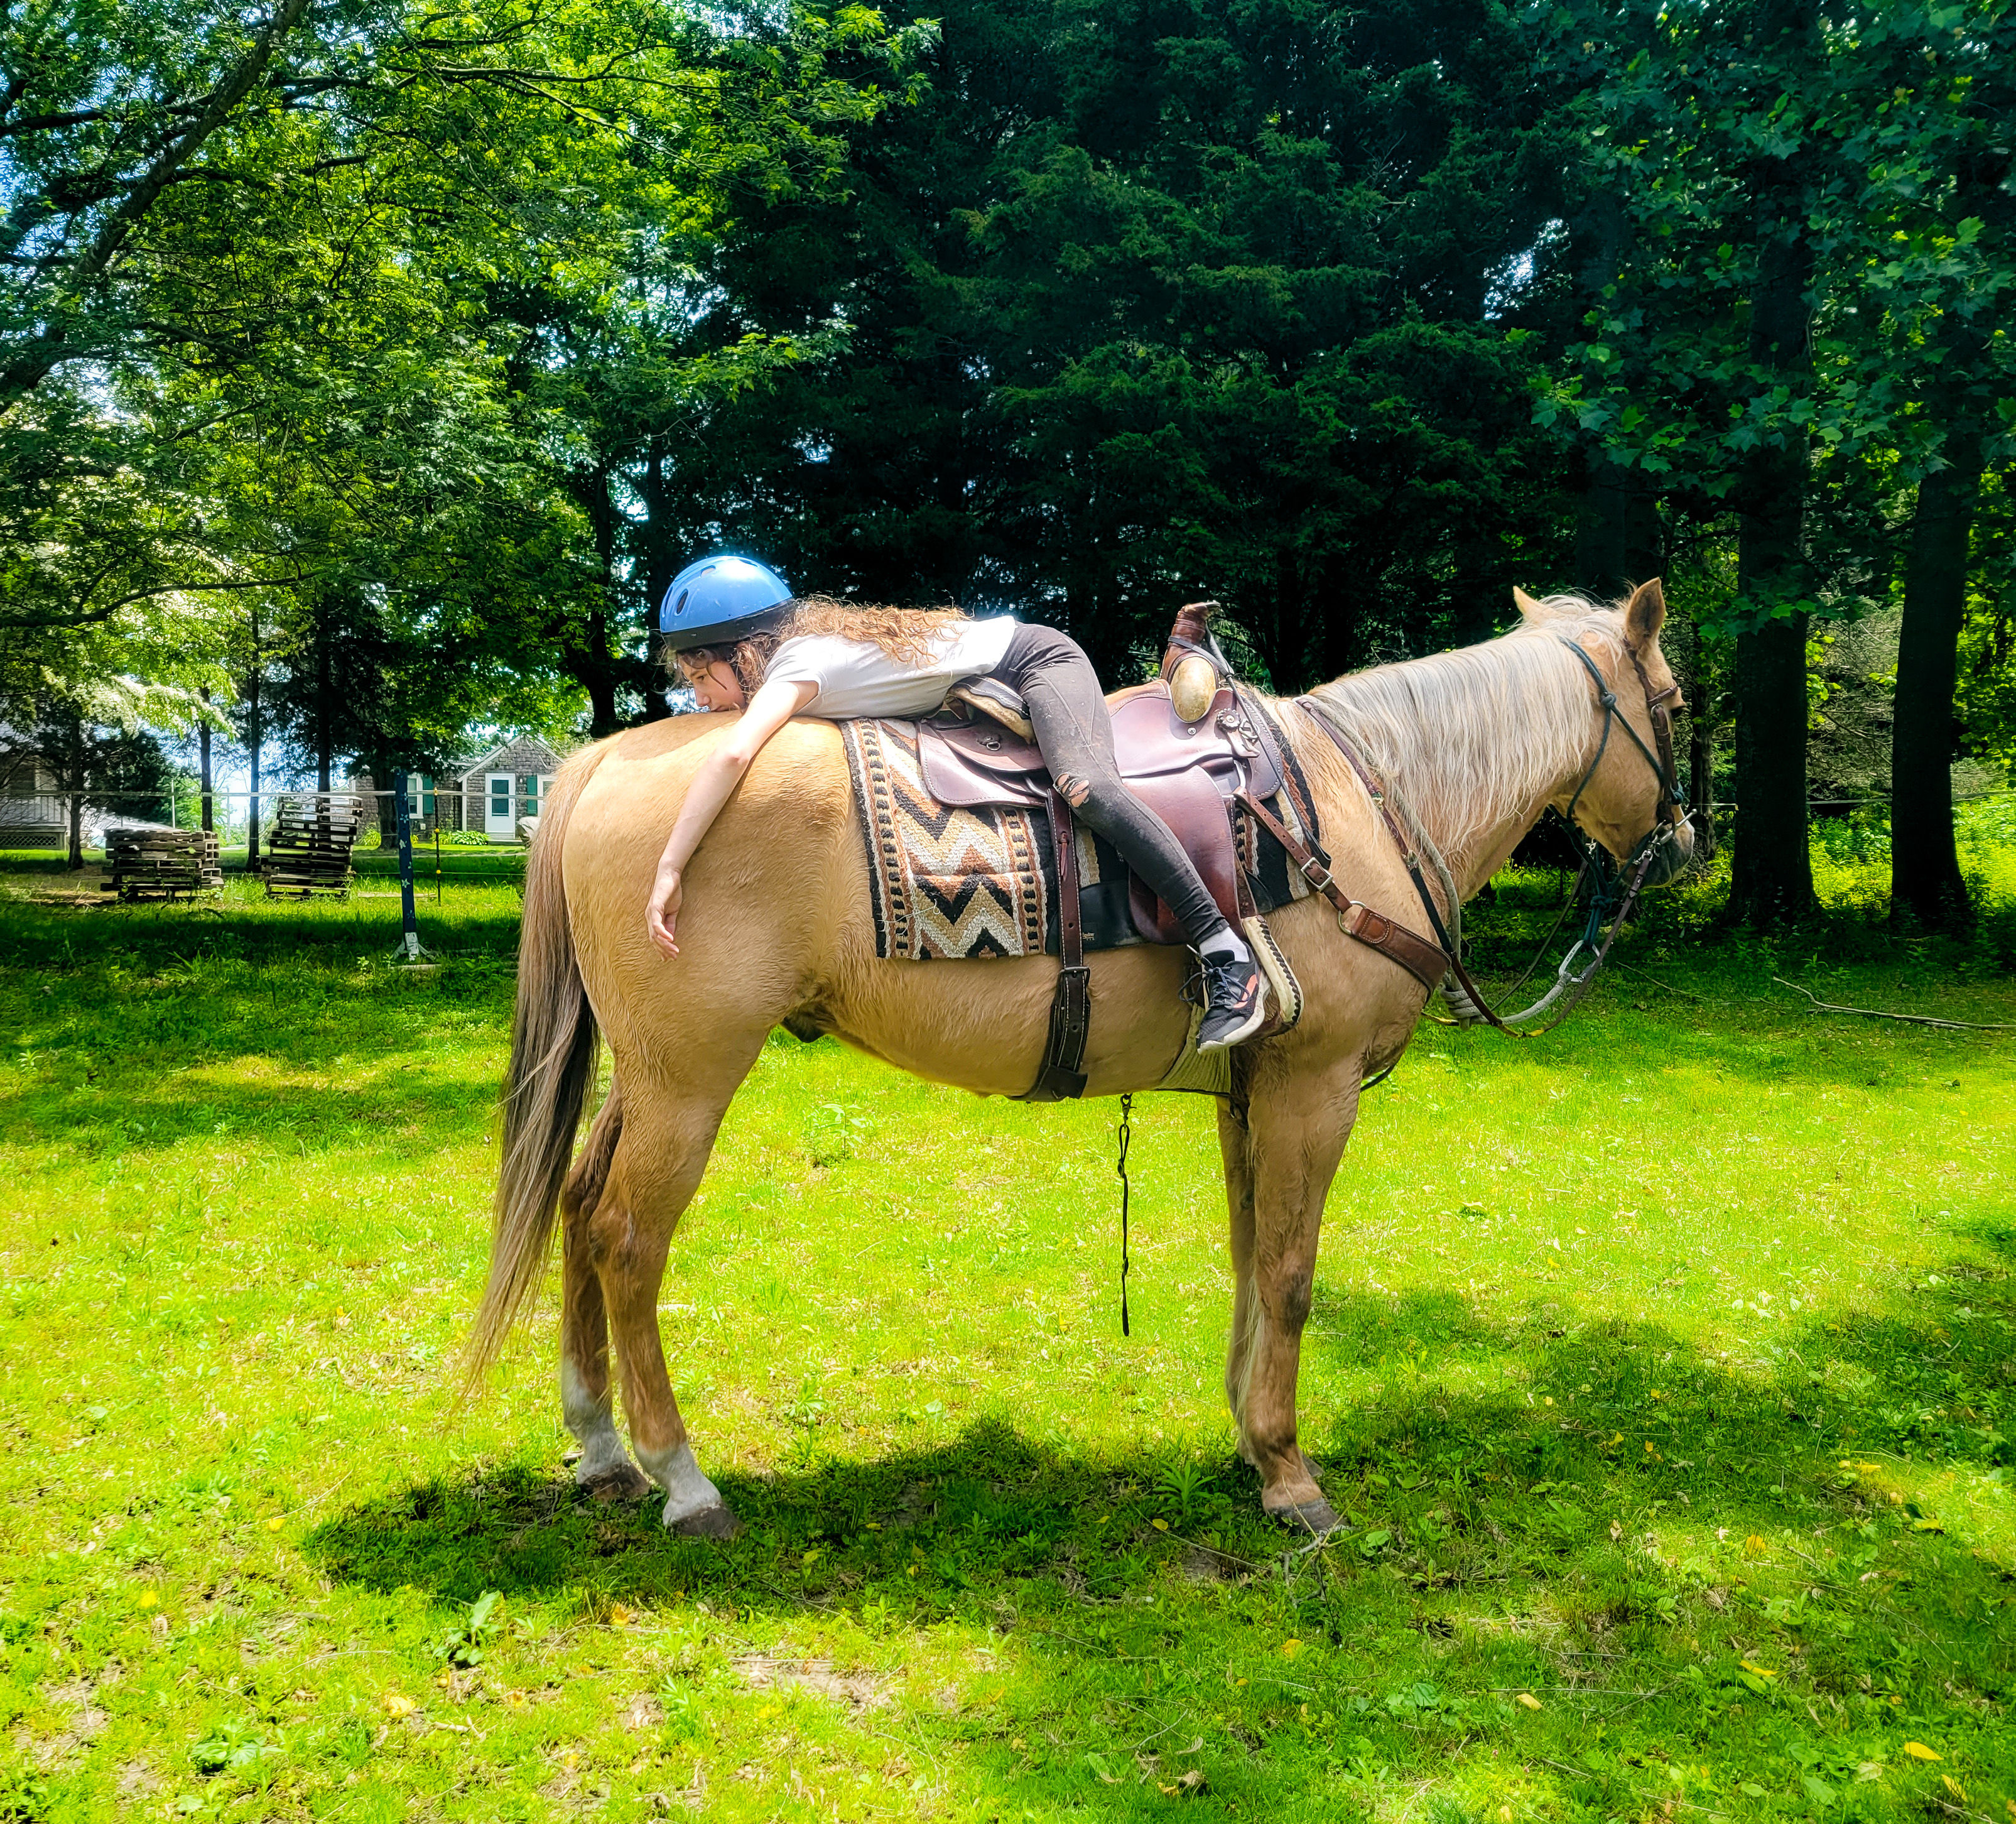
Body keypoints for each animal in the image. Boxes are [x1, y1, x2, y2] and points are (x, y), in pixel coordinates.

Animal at [467, 580, 1691, 1538]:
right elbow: (1292, 1275)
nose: (1683, 843)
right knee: (626, 1237)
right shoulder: (1316, 1082)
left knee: (575, 1201)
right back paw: (682, 1478)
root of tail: (601, 762)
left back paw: (601, 1447)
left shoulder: (1252, 1089)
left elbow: (1251, 1259)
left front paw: (1249, 1441)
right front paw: (1293, 1477)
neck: (1356, 800)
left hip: (643, 1074)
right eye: (1676, 703)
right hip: (690, 1078)